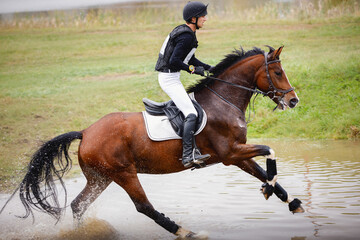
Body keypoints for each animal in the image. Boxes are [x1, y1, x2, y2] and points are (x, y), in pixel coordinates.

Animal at [0, 45, 304, 238]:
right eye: (278, 73)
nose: (293, 100)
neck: (224, 101)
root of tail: (85, 132)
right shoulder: (230, 154)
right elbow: (269, 151)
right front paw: (269, 189)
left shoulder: (237, 156)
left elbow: (263, 170)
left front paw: (291, 202)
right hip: (124, 173)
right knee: (143, 206)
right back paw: (186, 232)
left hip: (100, 177)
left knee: (78, 205)